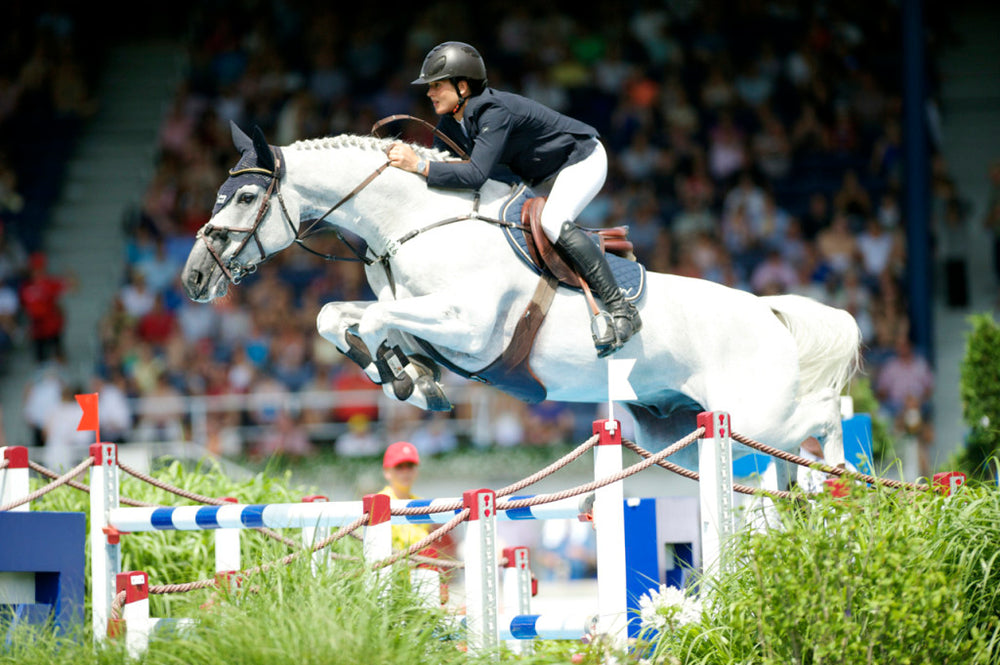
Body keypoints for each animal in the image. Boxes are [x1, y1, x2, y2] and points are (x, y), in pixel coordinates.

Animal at [181, 123, 861, 483]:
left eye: (245, 200)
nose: (193, 278)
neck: (415, 222)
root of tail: (768, 312)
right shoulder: (430, 324)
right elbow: (338, 316)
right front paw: (409, 378)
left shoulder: (470, 328)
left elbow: (371, 318)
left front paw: (400, 377)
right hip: (676, 425)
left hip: (752, 415)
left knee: (823, 415)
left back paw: (843, 480)